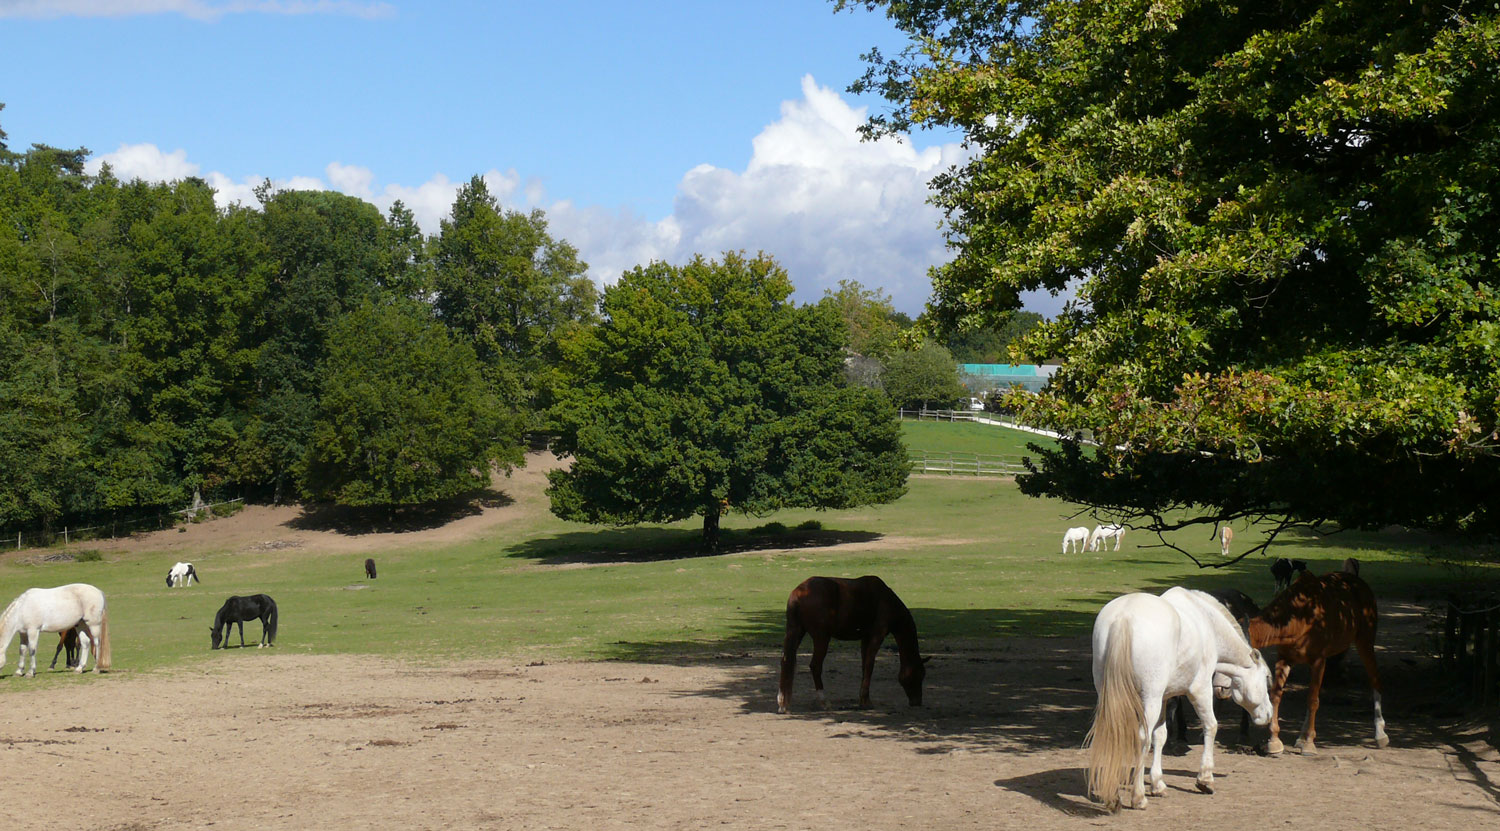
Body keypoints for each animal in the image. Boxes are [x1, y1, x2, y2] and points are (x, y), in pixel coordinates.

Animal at [780, 576, 918, 711]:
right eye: (920, 674)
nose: (917, 701)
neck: (886, 600)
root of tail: (798, 592)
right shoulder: (877, 637)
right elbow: (870, 665)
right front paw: (866, 701)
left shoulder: (865, 638)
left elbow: (865, 666)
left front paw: (863, 700)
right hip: (822, 639)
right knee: (815, 666)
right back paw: (824, 702)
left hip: (796, 632)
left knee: (785, 661)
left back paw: (782, 703)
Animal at [1086, 582, 1272, 810]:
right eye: (1266, 678)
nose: (1268, 714)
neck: (1207, 622)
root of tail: (1124, 617)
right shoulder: (1200, 690)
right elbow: (1211, 726)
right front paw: (1205, 780)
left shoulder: (1165, 699)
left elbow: (1161, 736)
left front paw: (1158, 784)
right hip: (1149, 700)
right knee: (1142, 738)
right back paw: (1138, 797)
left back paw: (1112, 796)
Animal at [1248, 570, 1386, 750]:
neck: (1298, 615)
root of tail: (1360, 584)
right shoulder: (1284, 659)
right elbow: (1276, 695)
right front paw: (1274, 741)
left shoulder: (1318, 660)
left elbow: (1313, 700)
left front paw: (1309, 743)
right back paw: (1301, 736)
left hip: (1365, 641)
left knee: (1375, 679)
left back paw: (1380, 734)